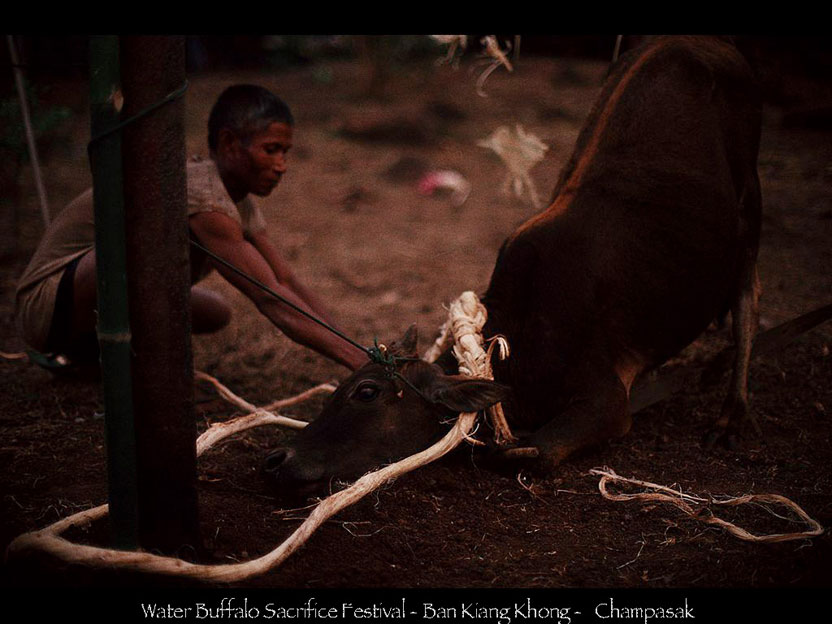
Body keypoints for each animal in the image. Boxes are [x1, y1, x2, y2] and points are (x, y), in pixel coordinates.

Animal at [264, 35, 764, 492]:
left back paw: (731, 416)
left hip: (749, 214)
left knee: (746, 303)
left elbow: (524, 454)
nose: (276, 457)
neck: (523, 339)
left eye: (366, 392)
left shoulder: (605, 399)